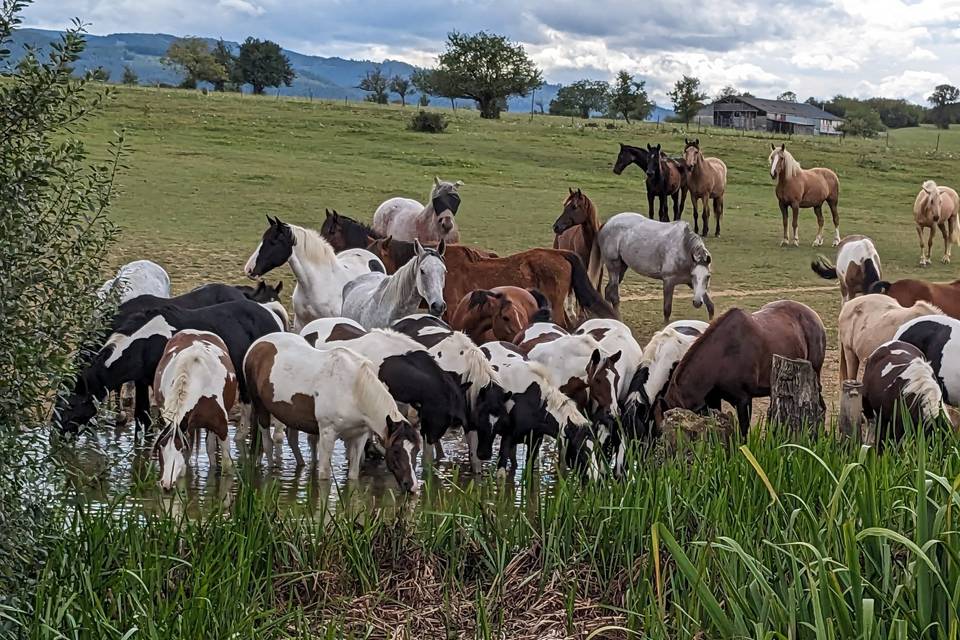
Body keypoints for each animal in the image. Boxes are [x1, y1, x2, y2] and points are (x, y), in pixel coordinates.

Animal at [54, 300, 282, 434]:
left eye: (72, 404)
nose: (57, 434)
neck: (147, 342)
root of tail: (270, 313)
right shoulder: (142, 382)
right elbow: (142, 418)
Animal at [152, 330, 237, 490]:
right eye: (161, 447)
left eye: (180, 449)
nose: (166, 484)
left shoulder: (222, 429)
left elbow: (226, 466)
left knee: (210, 449)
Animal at [243, 333, 421, 492]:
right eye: (396, 450)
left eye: (416, 450)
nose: (411, 486)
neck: (354, 391)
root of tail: (258, 344)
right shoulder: (328, 434)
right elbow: (324, 477)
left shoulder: (359, 437)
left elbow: (353, 476)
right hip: (260, 408)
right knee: (267, 443)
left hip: (290, 415)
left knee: (291, 438)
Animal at [662, 301, 826, 435]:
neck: (723, 354)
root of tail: (813, 315)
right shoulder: (714, 399)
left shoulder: (744, 400)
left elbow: (743, 432)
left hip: (814, 376)